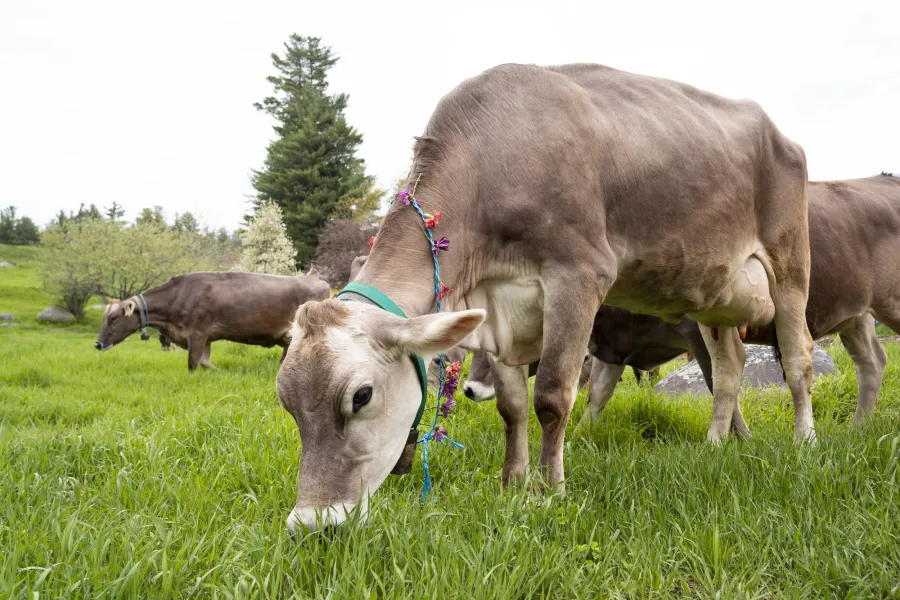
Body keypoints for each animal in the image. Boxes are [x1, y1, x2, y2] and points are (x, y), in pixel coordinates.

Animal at [95, 272, 331, 371]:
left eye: (113, 318)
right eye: (104, 317)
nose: (97, 344)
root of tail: (318, 279)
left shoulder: (197, 333)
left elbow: (192, 363)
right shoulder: (206, 337)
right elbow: (205, 362)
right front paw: (218, 371)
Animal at [275, 63, 813, 533]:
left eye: (361, 395)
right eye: (286, 402)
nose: (312, 525)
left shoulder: (578, 273)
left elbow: (553, 397)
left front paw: (547, 491)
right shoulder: (497, 308)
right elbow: (511, 406)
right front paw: (510, 483)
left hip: (790, 265)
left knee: (799, 358)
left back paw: (804, 441)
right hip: (714, 297)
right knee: (729, 368)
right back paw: (716, 444)